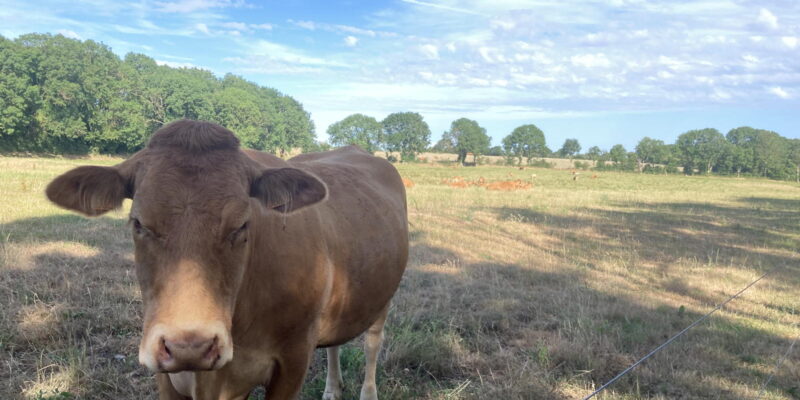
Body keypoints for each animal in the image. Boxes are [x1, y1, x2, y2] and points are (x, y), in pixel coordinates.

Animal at [45, 120, 409, 400]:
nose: (189, 347)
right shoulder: (167, 375)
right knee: (335, 344)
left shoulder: (294, 360)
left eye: (242, 224)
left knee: (372, 344)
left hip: (382, 299)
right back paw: (332, 390)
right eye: (138, 223)